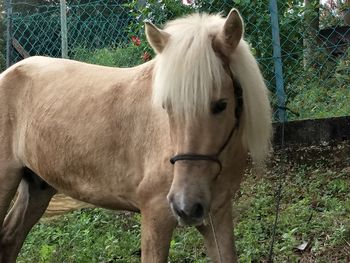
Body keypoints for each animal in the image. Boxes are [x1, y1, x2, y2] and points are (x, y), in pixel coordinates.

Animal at [0, 8, 270, 263]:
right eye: (167, 106)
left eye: (221, 105)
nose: (185, 206)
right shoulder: (156, 216)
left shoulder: (218, 215)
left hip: (37, 187)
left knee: (10, 238)